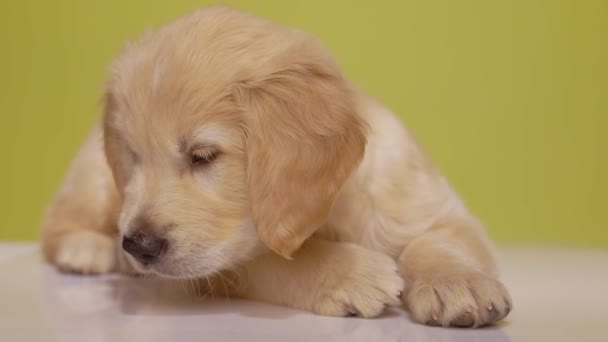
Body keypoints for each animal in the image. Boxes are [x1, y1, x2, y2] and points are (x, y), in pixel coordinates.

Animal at [40, 4, 510, 326]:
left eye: (203, 155)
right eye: (133, 157)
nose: (137, 245)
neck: (330, 215)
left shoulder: (429, 202)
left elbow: (441, 241)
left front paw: (458, 284)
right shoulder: (222, 266)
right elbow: (270, 261)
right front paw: (351, 273)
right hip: (93, 180)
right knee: (58, 222)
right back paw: (90, 250)